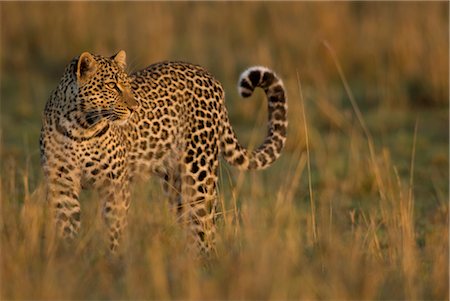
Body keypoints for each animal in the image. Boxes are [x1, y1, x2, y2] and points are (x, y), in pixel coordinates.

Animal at [40, 51, 286, 253]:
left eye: (128, 85)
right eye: (111, 86)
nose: (134, 108)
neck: (81, 128)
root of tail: (210, 76)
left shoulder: (115, 187)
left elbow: (114, 230)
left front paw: (114, 261)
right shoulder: (61, 185)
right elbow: (66, 228)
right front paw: (68, 259)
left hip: (199, 174)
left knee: (205, 224)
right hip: (176, 184)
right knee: (190, 224)